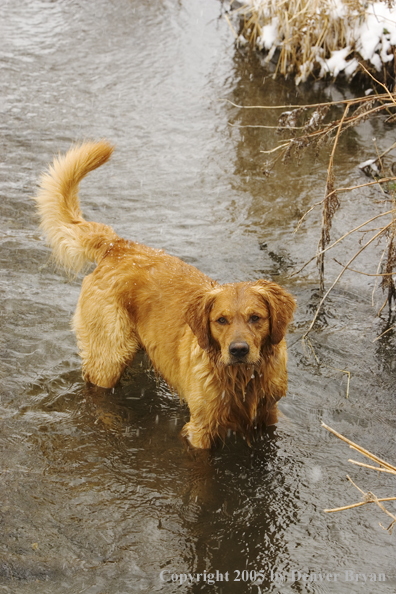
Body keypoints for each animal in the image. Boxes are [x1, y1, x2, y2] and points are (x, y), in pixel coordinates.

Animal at [34, 141, 296, 446]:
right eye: (221, 320)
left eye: (256, 318)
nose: (239, 350)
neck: (242, 380)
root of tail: (116, 245)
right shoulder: (200, 429)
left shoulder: (268, 415)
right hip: (108, 358)